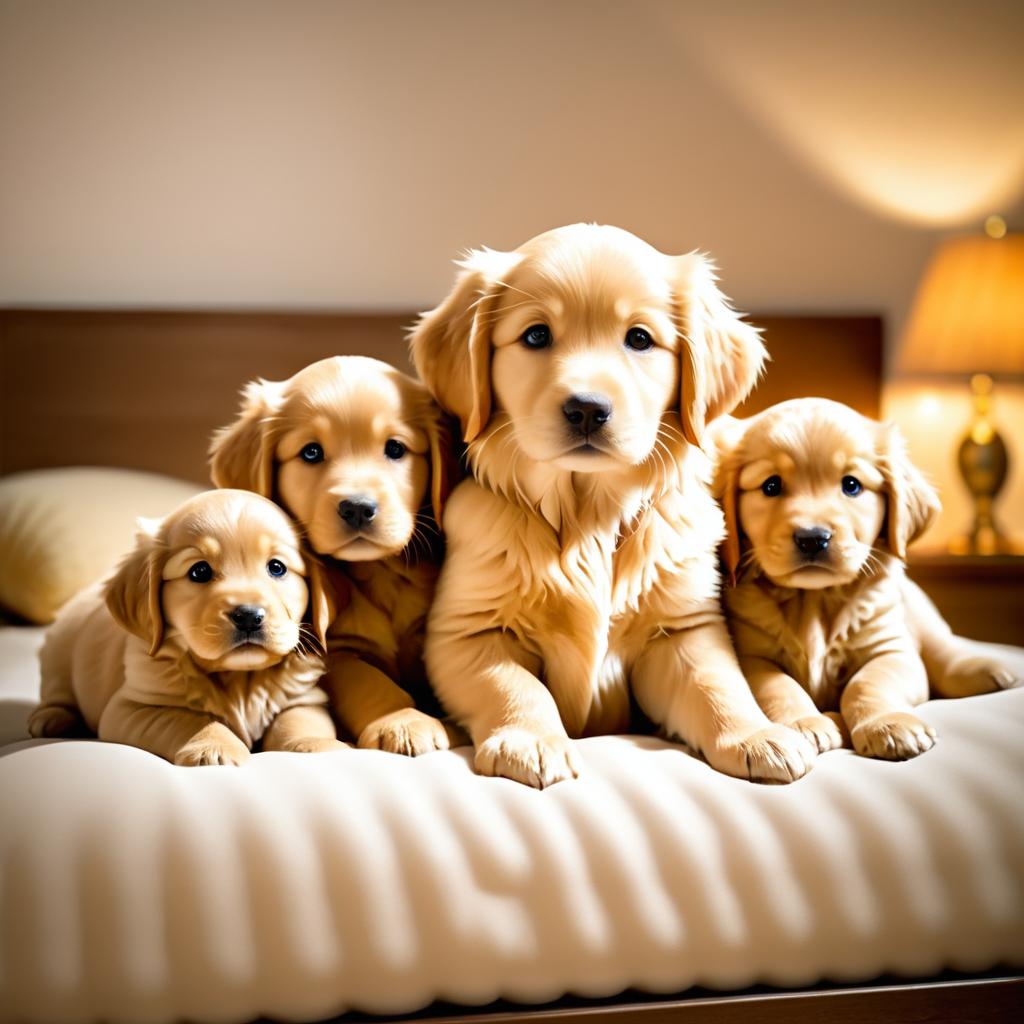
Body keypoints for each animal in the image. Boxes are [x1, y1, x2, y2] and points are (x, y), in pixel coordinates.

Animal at [27, 489, 339, 770]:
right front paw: (214, 747)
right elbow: (190, 719)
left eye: (276, 567)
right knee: (57, 692)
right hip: (58, 652)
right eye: (199, 571)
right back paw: (51, 718)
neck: (238, 679)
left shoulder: (303, 698)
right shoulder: (131, 707)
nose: (249, 616)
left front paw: (316, 745)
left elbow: (299, 720)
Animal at [209, 356, 454, 757]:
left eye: (395, 449)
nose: (357, 508)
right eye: (311, 452)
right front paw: (402, 720)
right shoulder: (333, 651)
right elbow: (370, 681)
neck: (379, 571)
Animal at [407, 220, 815, 786]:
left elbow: (717, 683)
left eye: (639, 338)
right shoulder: (466, 632)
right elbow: (514, 684)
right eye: (536, 335)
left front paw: (755, 736)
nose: (586, 409)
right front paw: (533, 740)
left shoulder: (683, 629)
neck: (587, 512)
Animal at [712, 397, 1024, 761]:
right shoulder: (751, 656)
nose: (812, 538)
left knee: (942, 645)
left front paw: (888, 725)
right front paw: (807, 724)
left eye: (851, 485)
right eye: (771, 486)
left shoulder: (891, 648)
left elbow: (867, 683)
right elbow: (779, 687)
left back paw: (988, 670)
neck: (813, 599)